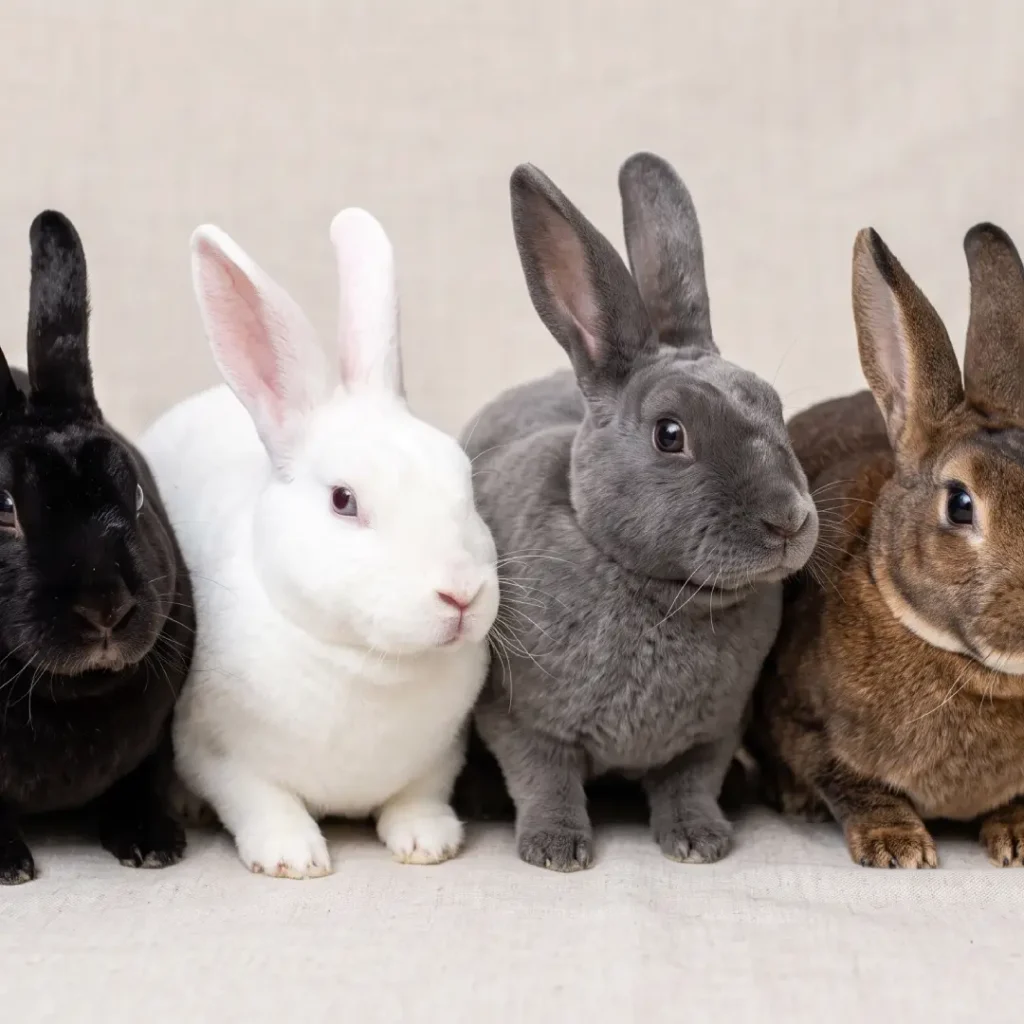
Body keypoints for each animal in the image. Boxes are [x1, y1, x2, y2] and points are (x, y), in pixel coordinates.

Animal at [0, 211, 195, 885]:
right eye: (4, 508)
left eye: (135, 493)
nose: (107, 607)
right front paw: (9, 865)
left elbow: (142, 777)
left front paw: (153, 842)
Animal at [138, 208, 499, 878]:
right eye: (343, 500)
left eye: (464, 481)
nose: (461, 594)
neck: (365, 663)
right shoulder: (219, 753)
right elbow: (261, 801)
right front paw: (293, 857)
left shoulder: (442, 756)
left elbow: (420, 795)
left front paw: (428, 842)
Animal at [460, 153, 819, 871]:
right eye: (669, 434)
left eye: (773, 406)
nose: (789, 520)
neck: (660, 589)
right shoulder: (522, 720)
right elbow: (544, 779)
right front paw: (555, 849)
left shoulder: (714, 731)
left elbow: (689, 782)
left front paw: (699, 841)